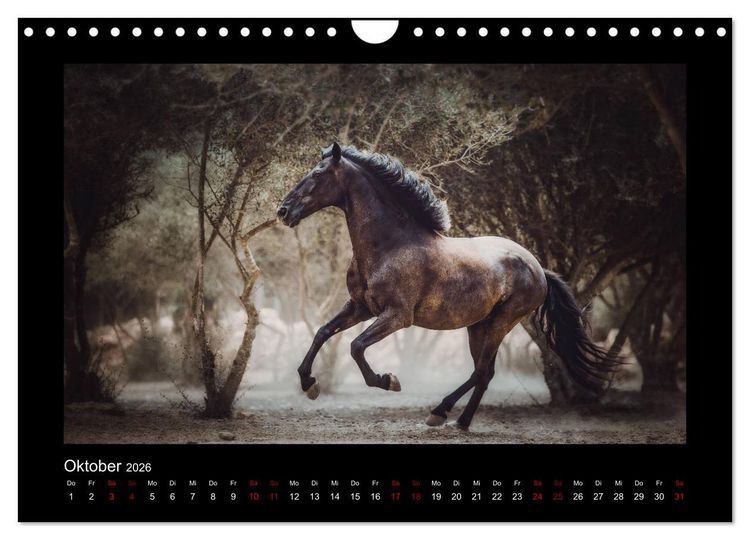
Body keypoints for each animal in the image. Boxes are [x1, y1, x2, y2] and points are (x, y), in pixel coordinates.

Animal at [277, 142, 617, 431]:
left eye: (318, 174)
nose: (283, 211)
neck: (390, 245)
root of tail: (538, 268)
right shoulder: (360, 307)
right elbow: (322, 332)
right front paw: (309, 384)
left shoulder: (397, 316)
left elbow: (356, 346)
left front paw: (388, 380)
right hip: (478, 326)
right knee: (484, 374)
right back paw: (457, 420)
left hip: (502, 323)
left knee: (481, 372)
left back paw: (442, 413)